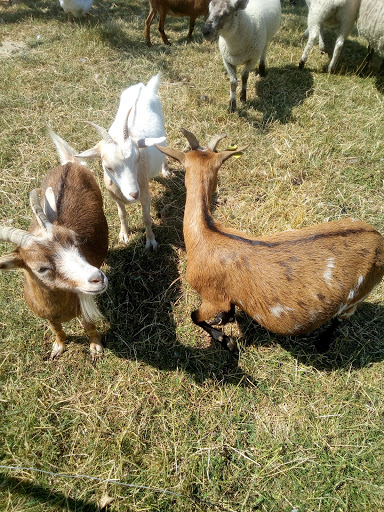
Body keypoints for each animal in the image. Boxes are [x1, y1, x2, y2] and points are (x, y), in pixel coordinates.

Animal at [0, 130, 109, 360]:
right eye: (41, 268)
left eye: (75, 242)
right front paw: (58, 347)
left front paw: (96, 348)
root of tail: (69, 163)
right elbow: (56, 329)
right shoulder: (47, 316)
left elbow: (89, 325)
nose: (98, 278)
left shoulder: (85, 304)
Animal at [77, 74, 167, 252]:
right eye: (108, 167)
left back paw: (165, 170)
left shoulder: (145, 193)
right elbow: (122, 214)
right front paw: (124, 235)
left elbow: (146, 218)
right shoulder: (115, 197)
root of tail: (143, 87)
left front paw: (151, 242)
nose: (133, 194)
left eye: (137, 159)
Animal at [156, 127, 384, 352]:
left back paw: (322, 344)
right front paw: (224, 320)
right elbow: (228, 309)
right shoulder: (226, 297)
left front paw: (225, 339)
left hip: (356, 296)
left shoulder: (211, 296)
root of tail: (378, 238)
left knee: (341, 318)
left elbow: (194, 316)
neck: (205, 235)